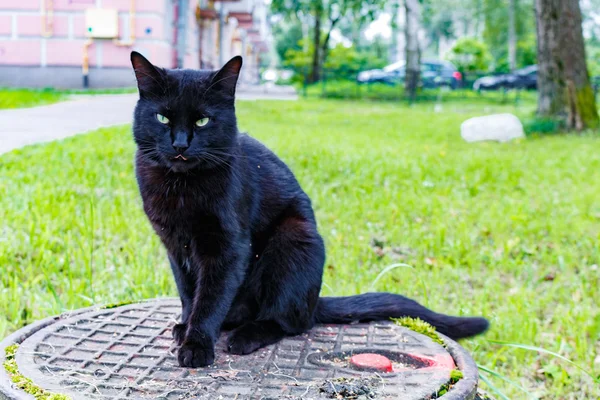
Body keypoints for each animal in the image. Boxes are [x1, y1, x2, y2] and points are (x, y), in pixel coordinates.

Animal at [130, 51, 488, 368]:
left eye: (203, 120)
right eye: (162, 117)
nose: (179, 144)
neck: (180, 189)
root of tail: (315, 301)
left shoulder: (227, 247)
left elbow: (209, 299)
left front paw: (197, 345)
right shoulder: (175, 246)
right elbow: (188, 293)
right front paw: (185, 326)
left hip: (293, 238)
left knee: (288, 321)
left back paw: (245, 335)